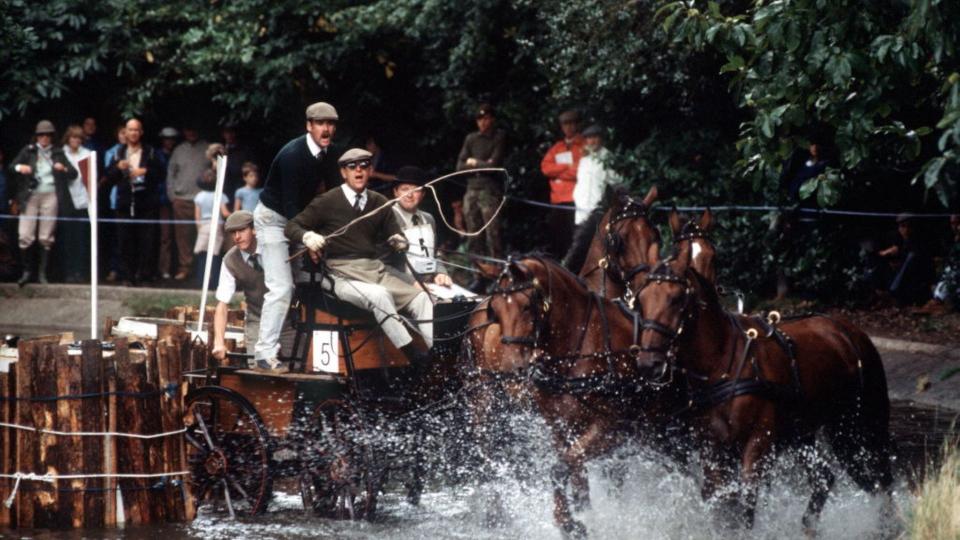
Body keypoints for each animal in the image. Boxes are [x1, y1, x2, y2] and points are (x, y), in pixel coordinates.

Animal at [632, 244, 896, 532]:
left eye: (677, 299)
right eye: (641, 300)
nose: (648, 363)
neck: (723, 362)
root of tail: (851, 333)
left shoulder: (759, 441)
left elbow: (746, 500)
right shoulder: (712, 448)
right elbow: (718, 500)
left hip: (856, 430)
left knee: (882, 481)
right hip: (803, 434)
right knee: (826, 478)